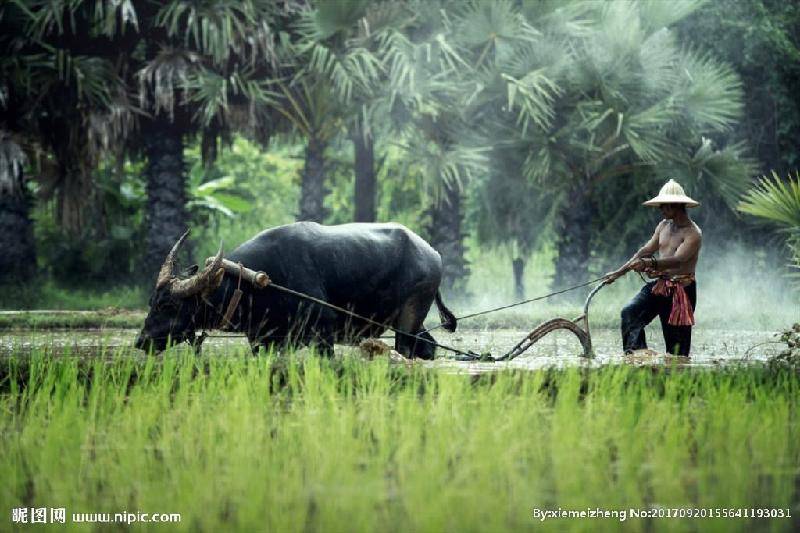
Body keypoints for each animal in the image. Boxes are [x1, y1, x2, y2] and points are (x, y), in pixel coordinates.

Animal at [134, 220, 454, 358]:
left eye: (168, 305)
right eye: (151, 301)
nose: (141, 341)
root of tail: (433, 254)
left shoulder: (322, 335)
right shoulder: (264, 341)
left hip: (409, 318)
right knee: (427, 347)